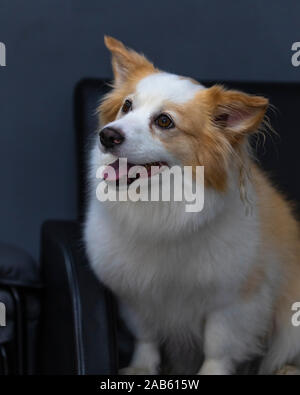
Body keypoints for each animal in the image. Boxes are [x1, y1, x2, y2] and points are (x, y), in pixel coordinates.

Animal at [83, 36, 300, 374]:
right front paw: (141, 367)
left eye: (164, 121)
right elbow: (145, 335)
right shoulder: (135, 295)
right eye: (126, 106)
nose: (107, 135)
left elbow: (218, 348)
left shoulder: (234, 302)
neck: (159, 204)